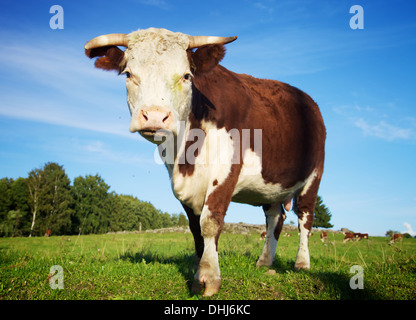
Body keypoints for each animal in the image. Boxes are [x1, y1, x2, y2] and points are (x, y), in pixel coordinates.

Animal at [83, 27, 324, 298]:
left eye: (186, 76)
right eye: (128, 74)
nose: (154, 116)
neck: (186, 153)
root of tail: (309, 102)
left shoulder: (227, 169)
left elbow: (210, 222)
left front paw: (209, 277)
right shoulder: (181, 182)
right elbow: (194, 227)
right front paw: (197, 274)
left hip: (314, 176)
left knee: (305, 218)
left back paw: (302, 263)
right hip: (270, 185)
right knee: (275, 217)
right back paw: (264, 262)